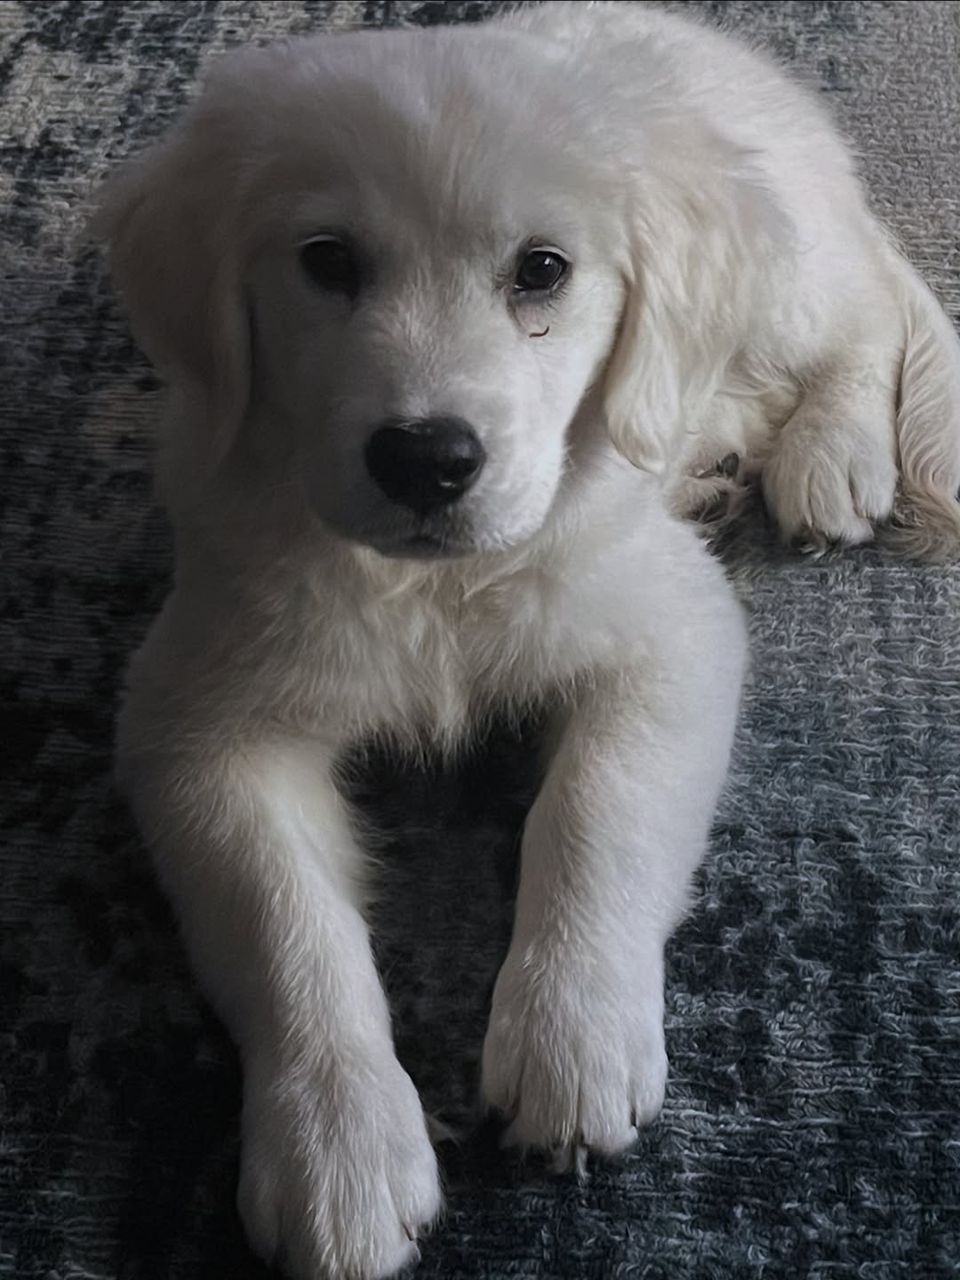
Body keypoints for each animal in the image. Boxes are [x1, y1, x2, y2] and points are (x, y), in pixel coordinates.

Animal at [94, 4, 960, 1278]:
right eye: (327, 261)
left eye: (542, 269)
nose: (426, 459)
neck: (438, 586)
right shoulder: (201, 716)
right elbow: (282, 918)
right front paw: (336, 1148)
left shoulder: (670, 632)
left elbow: (596, 807)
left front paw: (574, 1040)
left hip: (789, 280)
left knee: (871, 318)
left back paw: (834, 455)